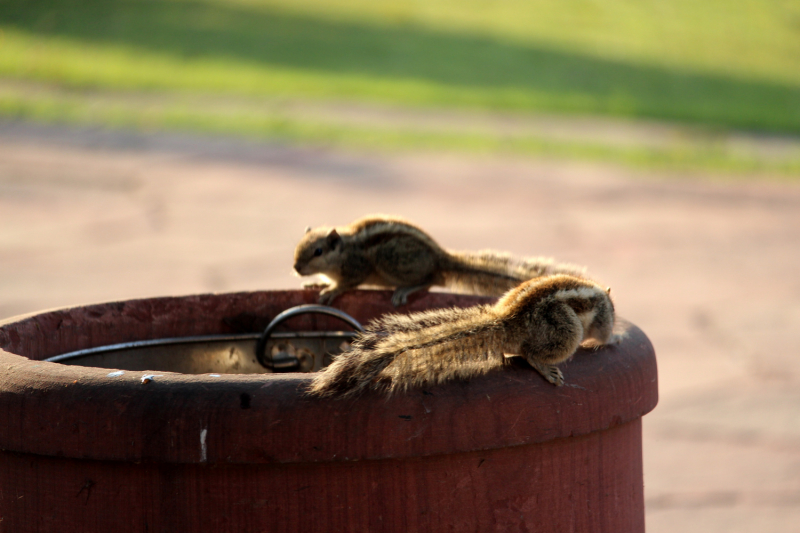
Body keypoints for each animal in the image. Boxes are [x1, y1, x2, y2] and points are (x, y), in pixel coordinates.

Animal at [290, 214, 584, 306]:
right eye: (298, 248)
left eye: (317, 252)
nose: (296, 267)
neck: (344, 250)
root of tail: (441, 258)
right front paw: (317, 285)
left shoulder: (356, 268)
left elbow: (348, 282)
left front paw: (331, 290)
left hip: (392, 259)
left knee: (432, 279)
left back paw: (406, 289)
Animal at [308, 274, 620, 394]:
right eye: (615, 309)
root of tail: (509, 319)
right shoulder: (602, 316)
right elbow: (604, 334)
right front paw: (614, 338)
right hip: (566, 328)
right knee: (532, 354)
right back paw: (546, 368)